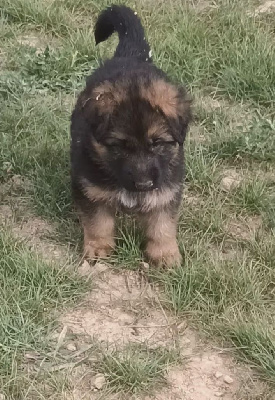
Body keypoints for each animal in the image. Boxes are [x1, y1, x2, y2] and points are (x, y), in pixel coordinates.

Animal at [71, 4, 192, 268]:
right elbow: (98, 222)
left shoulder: (166, 188)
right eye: (120, 145)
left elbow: (162, 224)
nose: (144, 185)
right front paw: (99, 247)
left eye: (157, 144)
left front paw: (164, 254)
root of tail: (131, 55)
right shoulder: (92, 189)